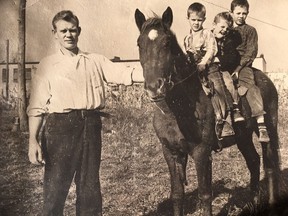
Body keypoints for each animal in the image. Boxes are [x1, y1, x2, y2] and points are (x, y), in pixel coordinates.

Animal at [135, 5, 282, 215]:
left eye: (167, 42)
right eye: (139, 43)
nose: (154, 88)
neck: (178, 110)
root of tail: (266, 79)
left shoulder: (201, 152)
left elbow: (205, 194)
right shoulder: (171, 152)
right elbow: (177, 194)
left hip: (268, 128)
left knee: (270, 166)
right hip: (243, 136)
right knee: (253, 161)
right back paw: (252, 200)